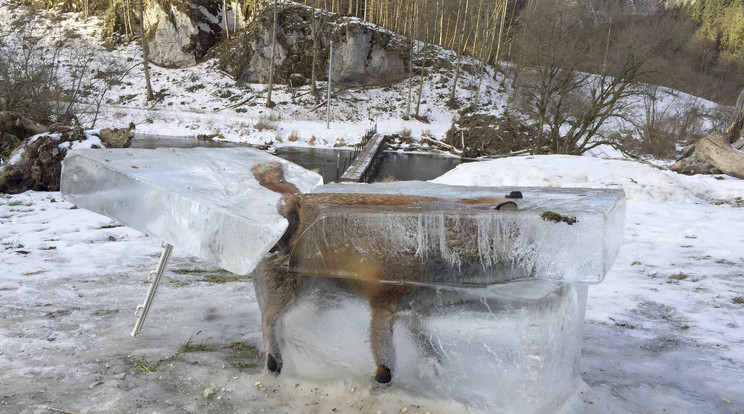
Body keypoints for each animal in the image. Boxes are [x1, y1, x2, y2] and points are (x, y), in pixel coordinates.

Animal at [251, 163, 516, 384]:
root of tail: (296, 198)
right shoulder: (384, 304)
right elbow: (386, 363)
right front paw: (380, 381)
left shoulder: (413, 310)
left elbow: (429, 346)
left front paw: (434, 367)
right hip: (293, 291)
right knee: (269, 320)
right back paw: (274, 360)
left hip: (320, 296)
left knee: (287, 323)